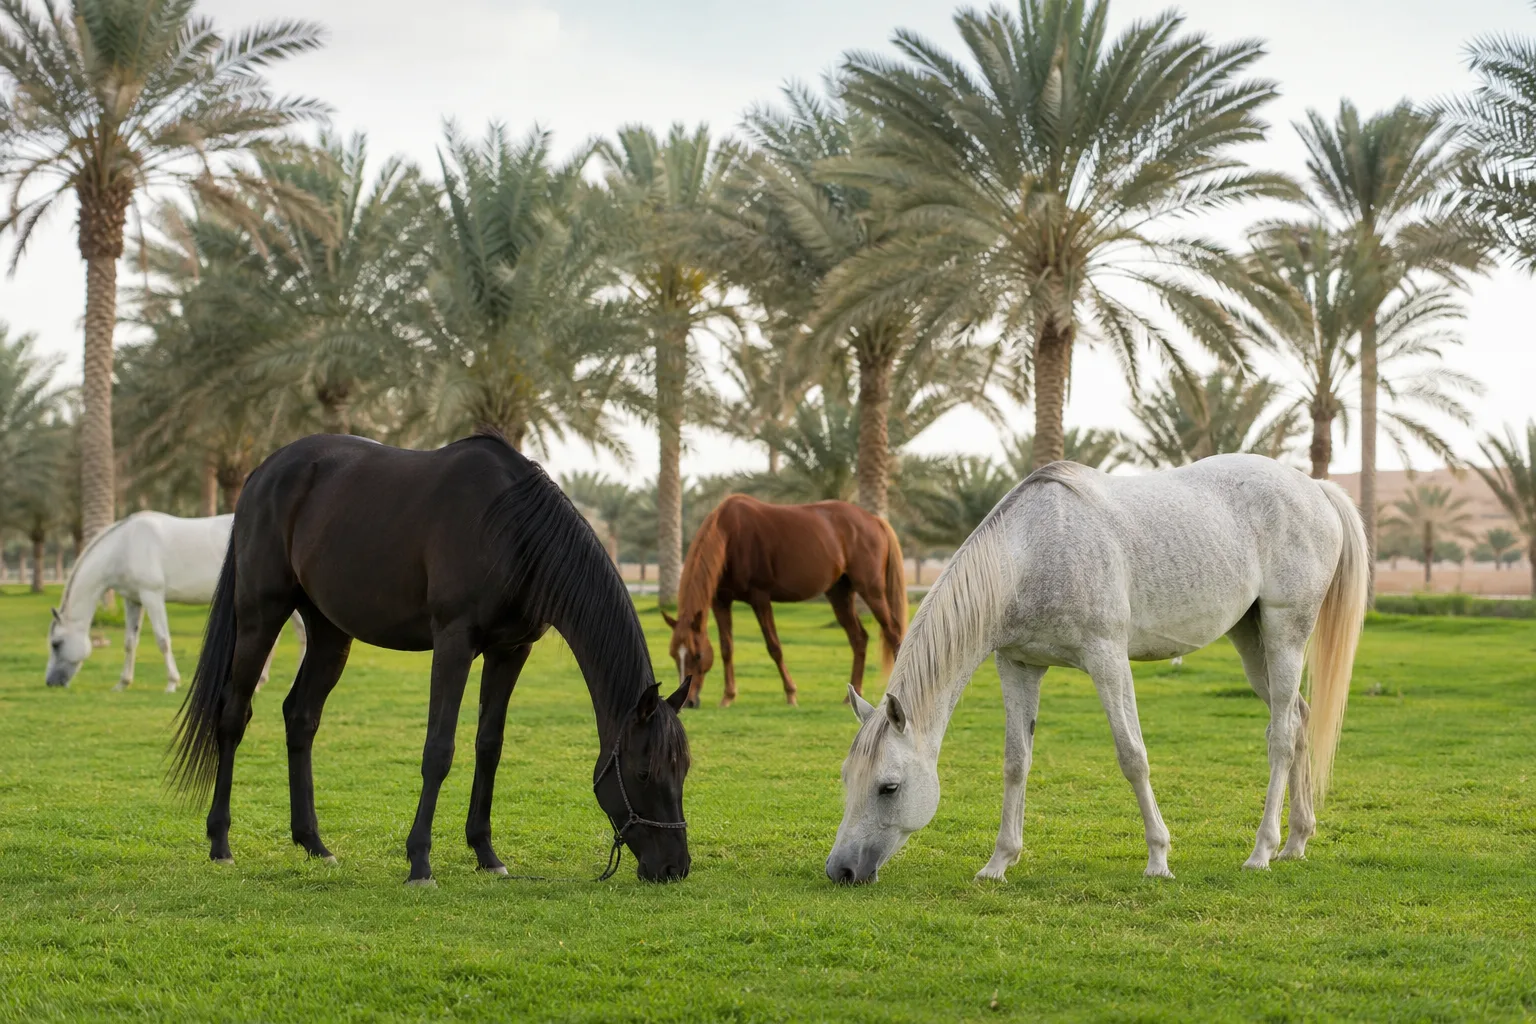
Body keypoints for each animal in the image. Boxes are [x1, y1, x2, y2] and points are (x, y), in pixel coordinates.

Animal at [44, 512, 305, 692]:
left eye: (56, 644)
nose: (51, 682)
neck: (124, 545)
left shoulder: (152, 596)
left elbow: (163, 641)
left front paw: (172, 682)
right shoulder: (133, 600)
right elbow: (130, 642)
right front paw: (123, 683)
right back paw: (259, 682)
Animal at [169, 432, 693, 884]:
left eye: (683, 769)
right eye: (644, 772)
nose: (675, 868)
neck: (510, 529)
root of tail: (263, 472)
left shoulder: (510, 651)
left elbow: (489, 745)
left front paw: (486, 853)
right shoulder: (455, 642)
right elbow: (439, 749)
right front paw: (420, 862)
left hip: (329, 631)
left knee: (300, 716)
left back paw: (314, 843)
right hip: (261, 614)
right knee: (233, 715)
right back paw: (221, 844)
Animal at [662, 494, 907, 708]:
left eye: (697, 655)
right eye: (674, 655)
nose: (688, 702)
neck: (729, 535)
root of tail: (874, 521)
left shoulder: (760, 598)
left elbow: (774, 647)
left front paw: (791, 694)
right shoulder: (721, 601)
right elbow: (726, 648)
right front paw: (728, 696)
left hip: (872, 591)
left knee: (893, 633)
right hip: (839, 593)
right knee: (859, 639)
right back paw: (850, 697)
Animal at [827, 455, 1367, 883]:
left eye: (889, 787)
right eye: (846, 778)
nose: (841, 870)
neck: (1030, 554)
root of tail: (1314, 487)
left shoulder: (1107, 659)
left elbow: (1132, 756)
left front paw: (1158, 859)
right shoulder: (1018, 665)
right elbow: (1016, 762)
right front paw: (999, 863)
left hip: (1284, 632)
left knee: (1281, 736)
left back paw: (1262, 851)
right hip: (1252, 642)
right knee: (1298, 718)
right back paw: (1297, 841)